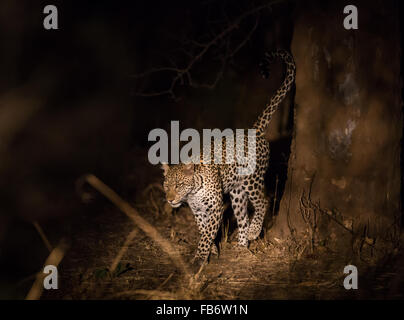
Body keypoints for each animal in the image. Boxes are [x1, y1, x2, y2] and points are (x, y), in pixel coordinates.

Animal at [161, 49, 296, 268]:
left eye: (179, 185)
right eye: (166, 186)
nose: (170, 199)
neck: (193, 192)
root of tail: (254, 131)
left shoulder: (215, 208)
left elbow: (207, 232)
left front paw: (200, 257)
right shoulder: (198, 211)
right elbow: (203, 230)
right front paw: (212, 250)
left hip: (251, 181)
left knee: (263, 202)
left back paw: (254, 232)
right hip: (237, 192)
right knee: (242, 216)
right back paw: (241, 246)